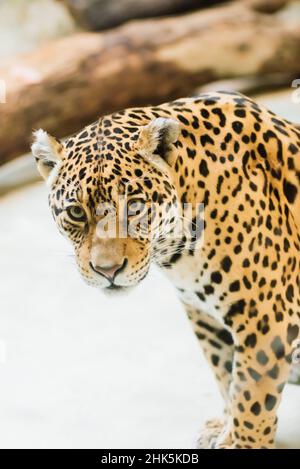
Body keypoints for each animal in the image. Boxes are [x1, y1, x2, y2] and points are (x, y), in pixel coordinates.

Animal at [31, 90, 300, 446]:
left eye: (134, 206)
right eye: (76, 212)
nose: (107, 270)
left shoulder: (265, 315)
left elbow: (251, 395)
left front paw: (244, 442)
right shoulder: (201, 312)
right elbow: (225, 375)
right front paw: (224, 427)